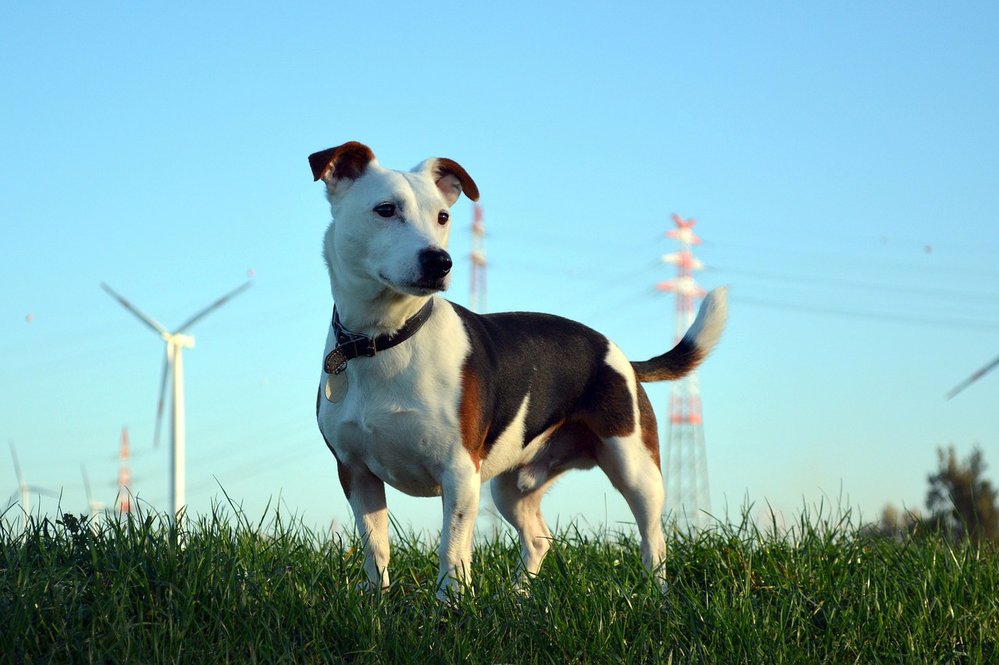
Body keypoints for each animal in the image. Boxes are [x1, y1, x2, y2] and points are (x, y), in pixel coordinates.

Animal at [306, 141, 728, 600]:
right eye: (385, 210)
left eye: (443, 217)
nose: (440, 261)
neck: (385, 338)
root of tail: (621, 356)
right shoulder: (355, 471)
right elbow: (375, 547)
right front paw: (376, 602)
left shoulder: (459, 473)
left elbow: (451, 550)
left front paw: (450, 605)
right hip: (510, 486)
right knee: (540, 538)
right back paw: (518, 594)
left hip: (635, 468)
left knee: (654, 539)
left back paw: (656, 596)